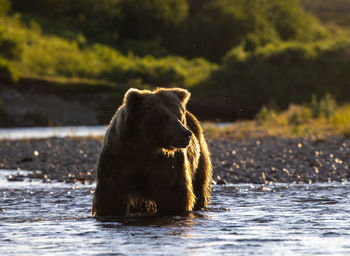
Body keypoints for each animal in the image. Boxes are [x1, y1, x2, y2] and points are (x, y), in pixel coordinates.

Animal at [91, 88, 211, 216]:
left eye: (179, 115)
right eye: (164, 116)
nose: (186, 134)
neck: (146, 147)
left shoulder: (167, 163)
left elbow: (173, 193)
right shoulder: (117, 158)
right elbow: (111, 196)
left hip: (198, 160)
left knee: (199, 186)